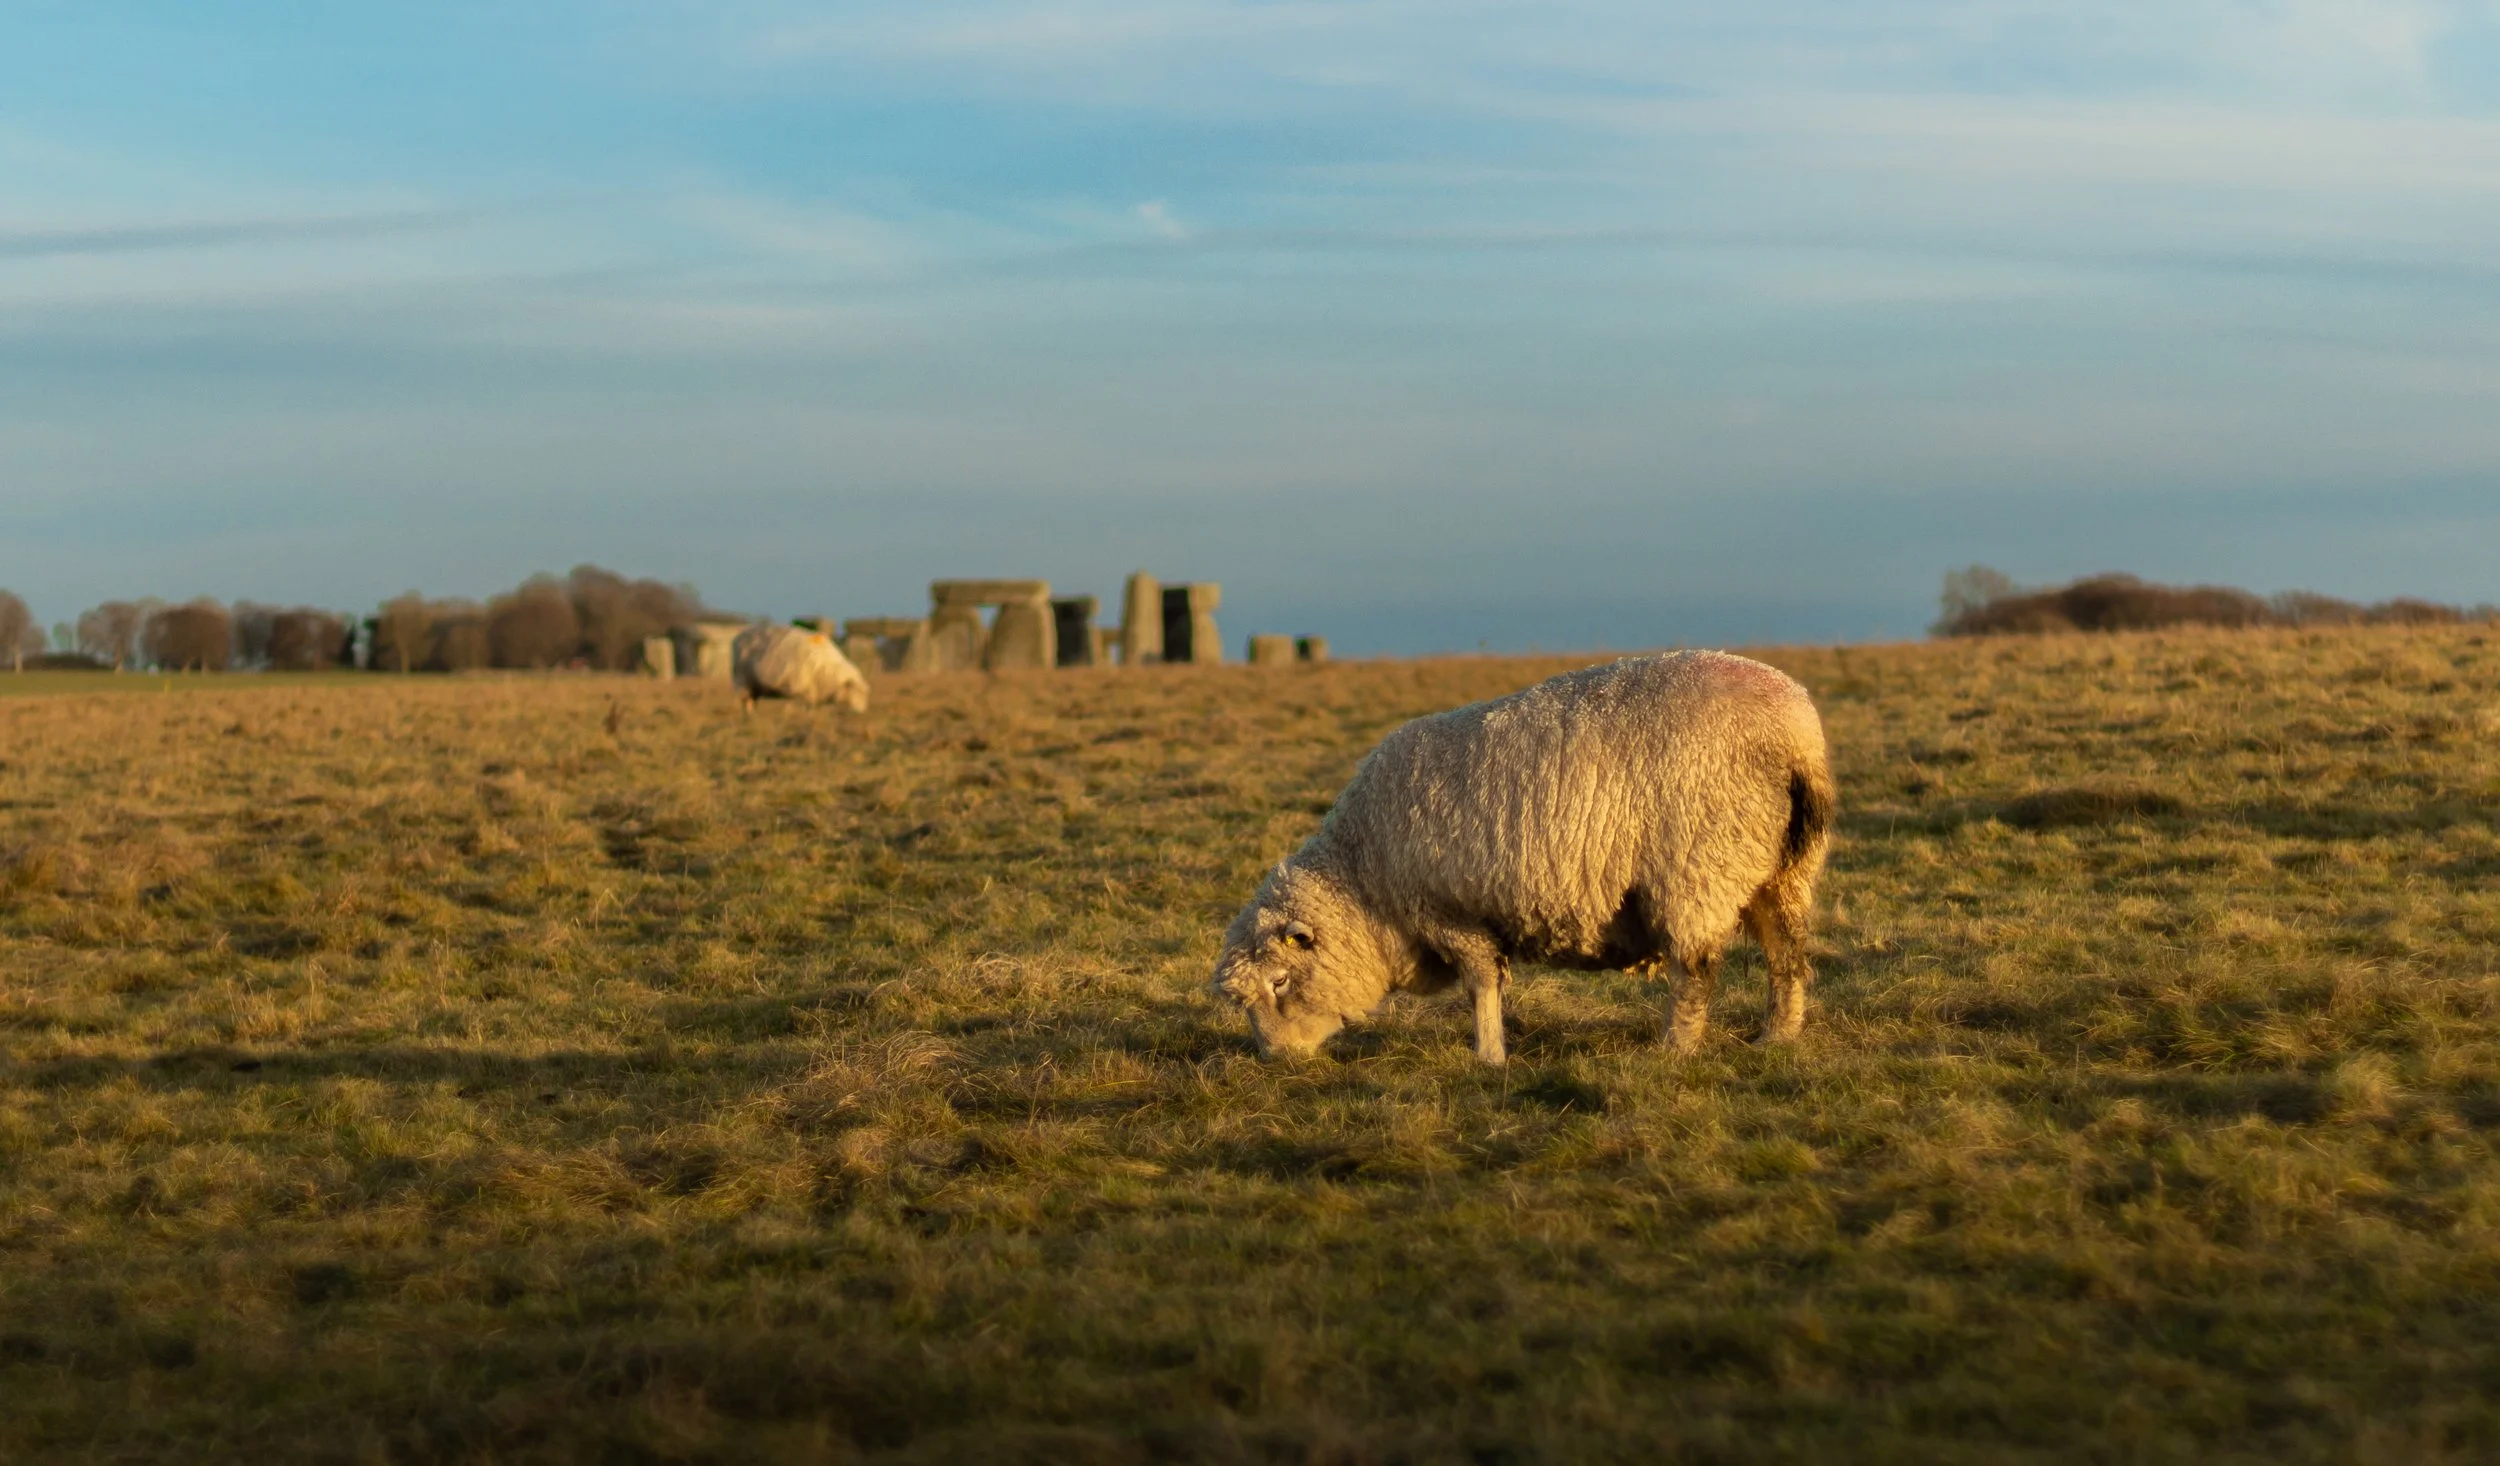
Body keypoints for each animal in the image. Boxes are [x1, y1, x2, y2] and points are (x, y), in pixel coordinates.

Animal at [731, 623, 871, 713]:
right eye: (855, 691)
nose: (860, 713)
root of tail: (738, 637)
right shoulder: (800, 688)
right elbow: (799, 706)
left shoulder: (814, 691)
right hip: (742, 680)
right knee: (747, 701)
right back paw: (750, 716)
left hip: (755, 684)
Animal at [1210, 650, 1834, 1063]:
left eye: (1281, 982)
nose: (1273, 1059)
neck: (1365, 876)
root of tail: (1792, 731)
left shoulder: (1451, 912)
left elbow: (1481, 984)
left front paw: (1488, 1057)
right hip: (1781, 870)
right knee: (1787, 955)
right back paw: (1777, 1037)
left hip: (1697, 866)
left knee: (1697, 970)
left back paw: (1674, 1048)